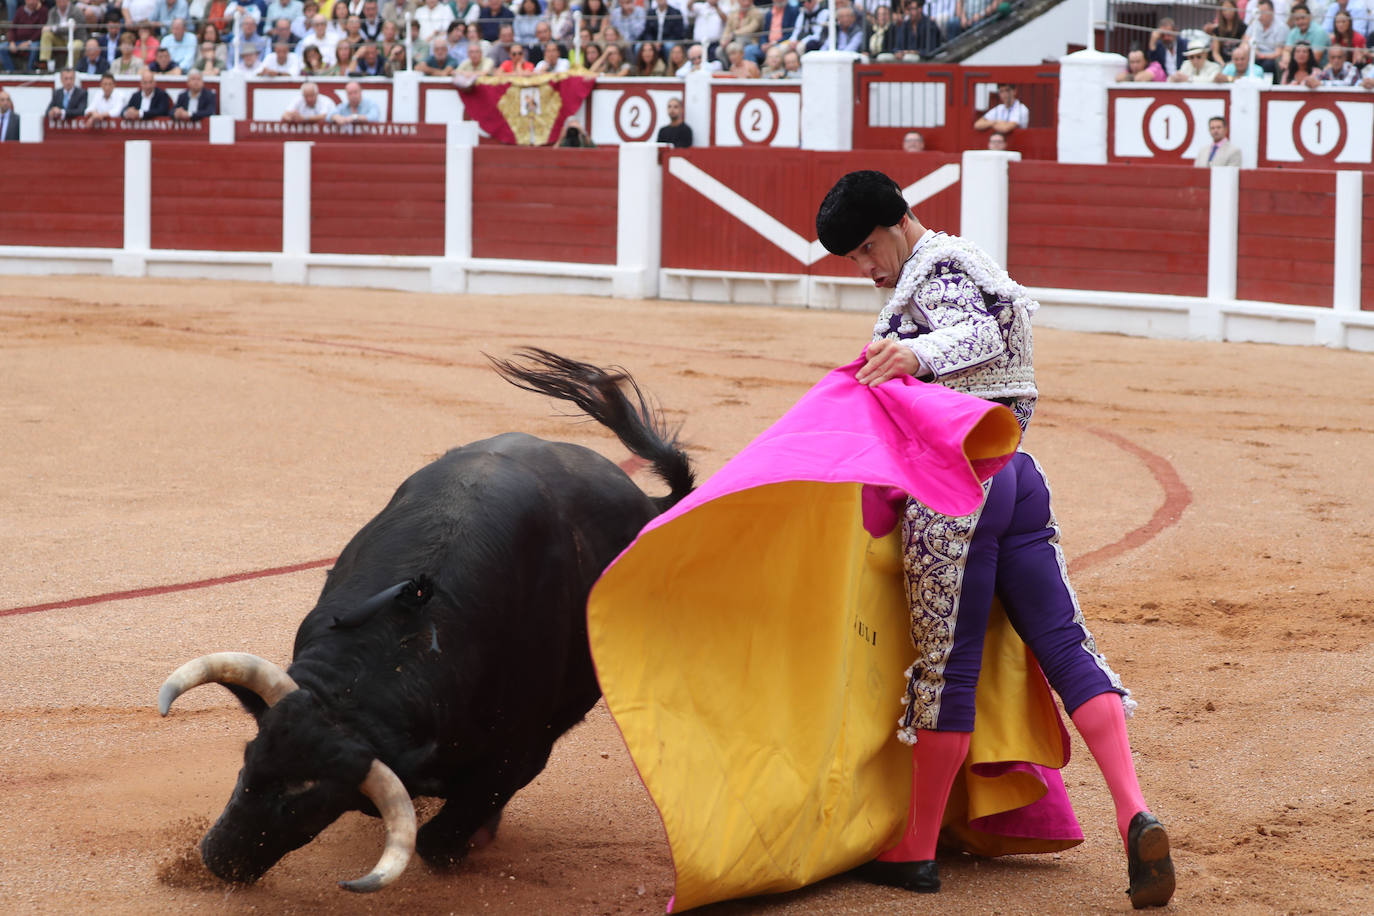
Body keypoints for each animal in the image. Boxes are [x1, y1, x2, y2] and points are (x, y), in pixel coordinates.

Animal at [158, 347, 697, 889]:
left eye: (311, 806)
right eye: (248, 762)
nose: (220, 860)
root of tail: (645, 500)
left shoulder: (522, 750)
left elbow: (442, 836)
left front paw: (467, 842)